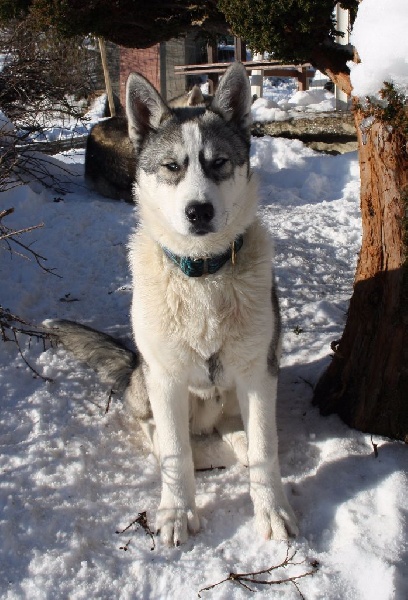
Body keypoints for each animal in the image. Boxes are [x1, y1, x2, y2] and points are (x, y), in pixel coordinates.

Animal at [46, 63, 298, 548]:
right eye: (172, 167)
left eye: (218, 163)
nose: (198, 211)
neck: (202, 273)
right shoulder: (165, 378)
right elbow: (176, 454)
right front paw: (178, 511)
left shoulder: (259, 373)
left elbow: (265, 448)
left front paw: (271, 509)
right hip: (146, 380)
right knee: (161, 433)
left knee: (233, 431)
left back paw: (236, 442)